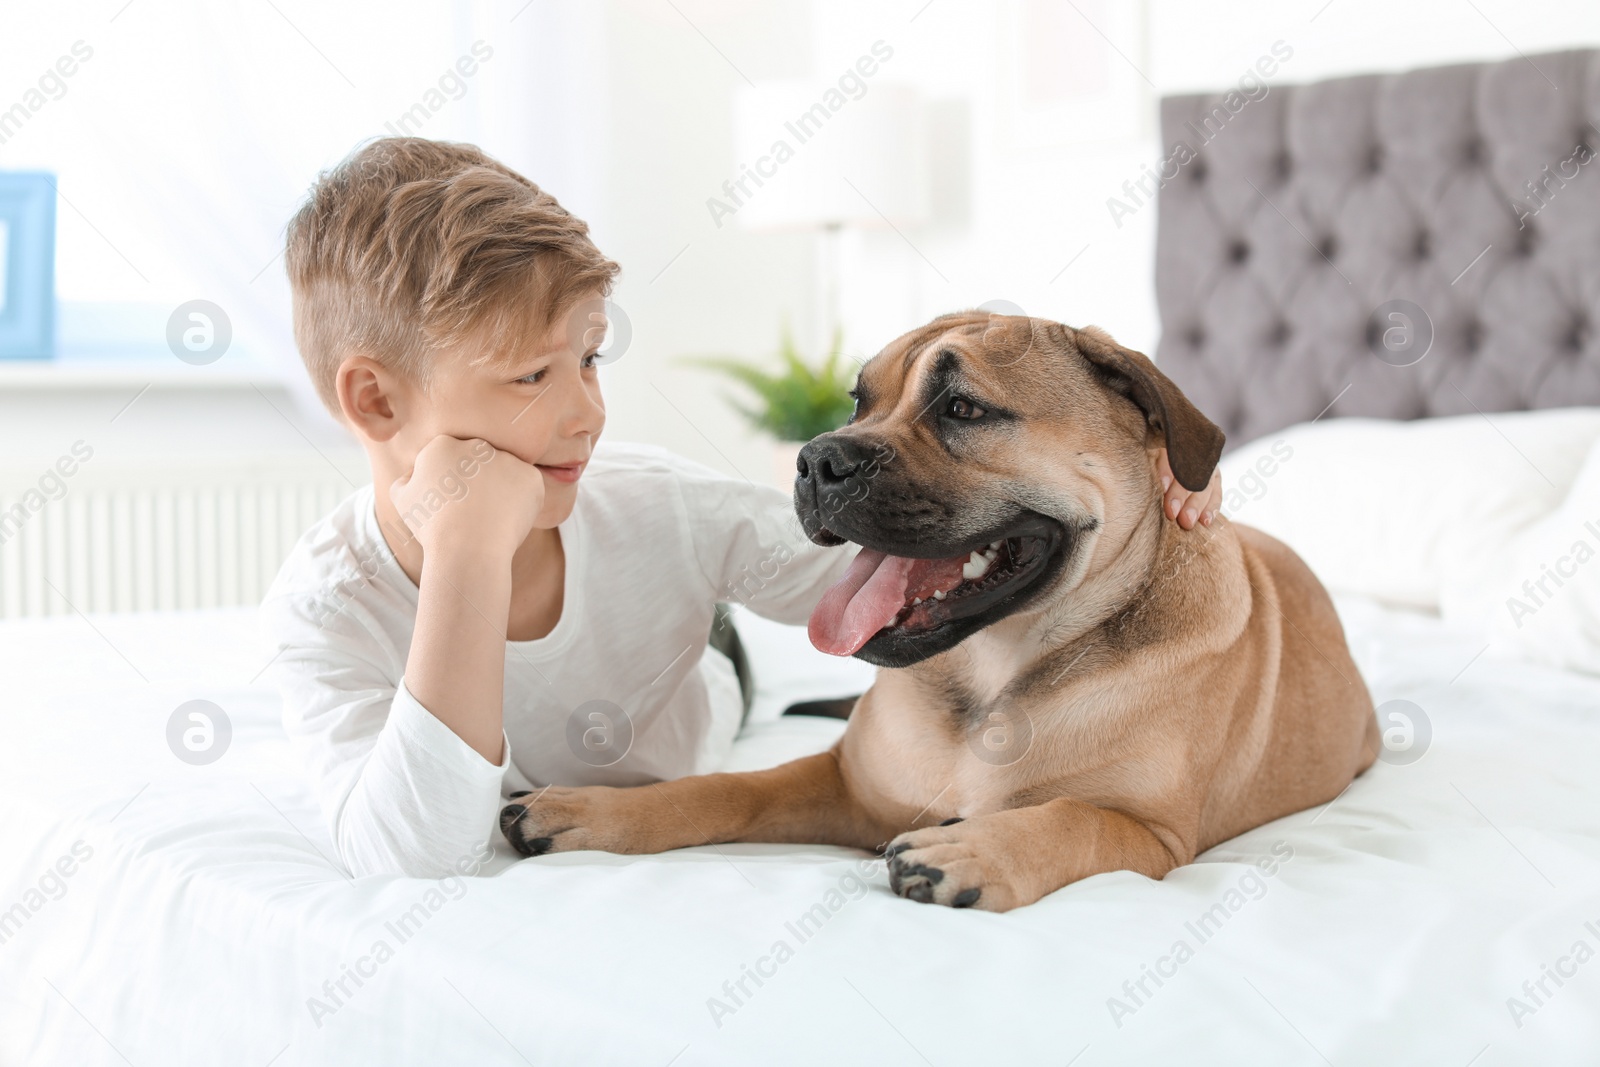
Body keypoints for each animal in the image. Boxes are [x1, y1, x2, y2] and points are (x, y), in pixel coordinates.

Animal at [505, 313, 1382, 915]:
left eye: (962, 408)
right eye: (859, 401)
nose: (817, 459)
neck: (993, 671)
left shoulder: (1152, 832)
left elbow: (1072, 818)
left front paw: (976, 849)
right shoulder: (843, 781)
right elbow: (722, 789)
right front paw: (592, 806)